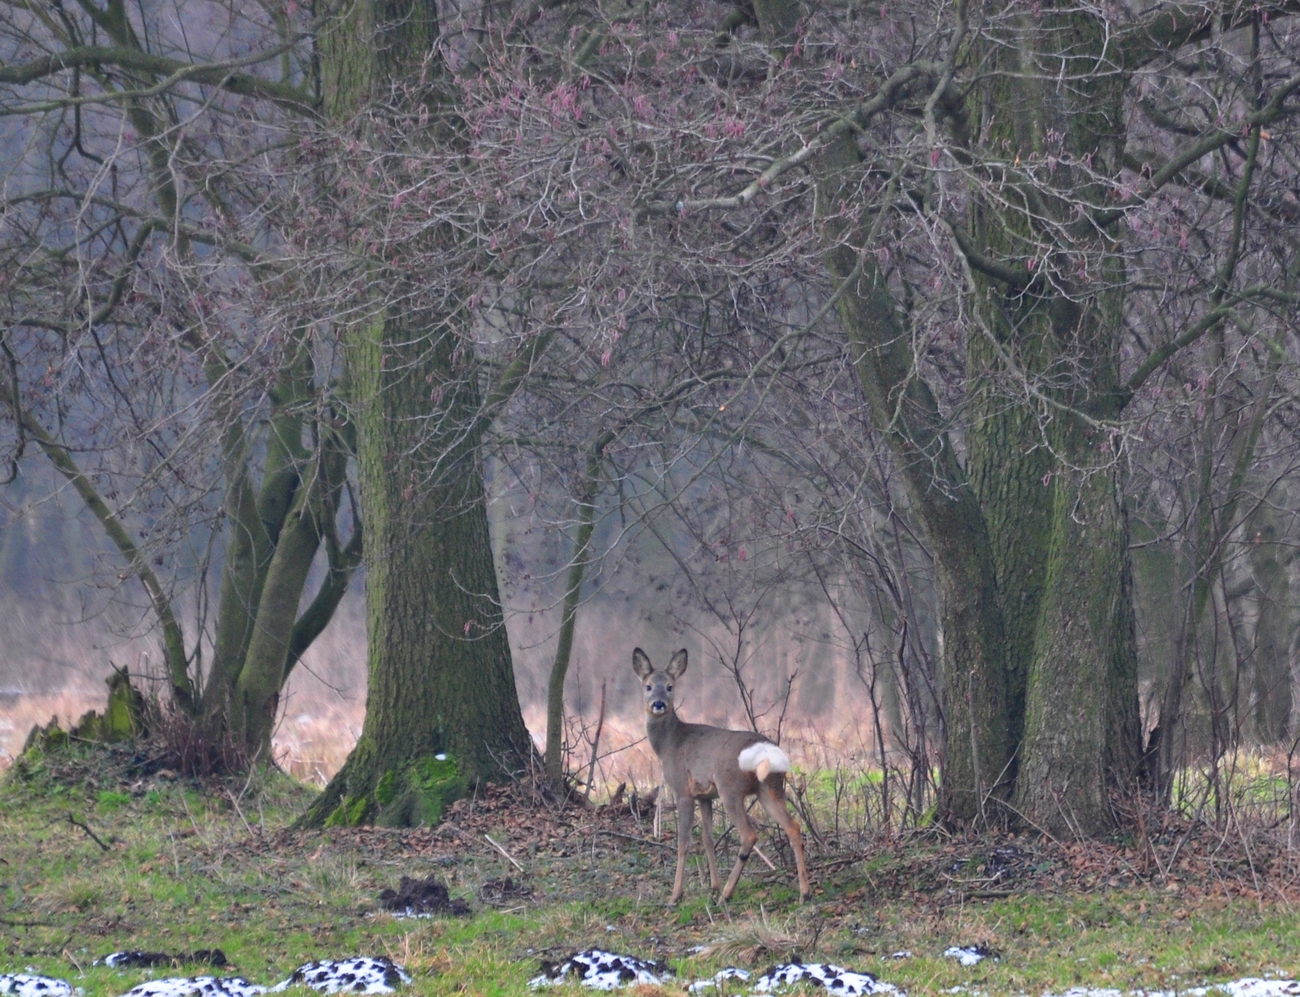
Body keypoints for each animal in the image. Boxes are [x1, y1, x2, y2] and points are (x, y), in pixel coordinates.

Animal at [631, 647, 806, 904]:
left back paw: (726, 894)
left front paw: (676, 895)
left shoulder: (683, 790)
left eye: (670, 686)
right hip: (770, 788)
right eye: (648, 686)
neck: (669, 744)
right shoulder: (705, 796)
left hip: (730, 788)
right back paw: (805, 892)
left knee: (749, 835)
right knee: (793, 827)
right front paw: (713, 885)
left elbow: (684, 841)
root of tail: (765, 752)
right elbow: (708, 838)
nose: (659, 704)